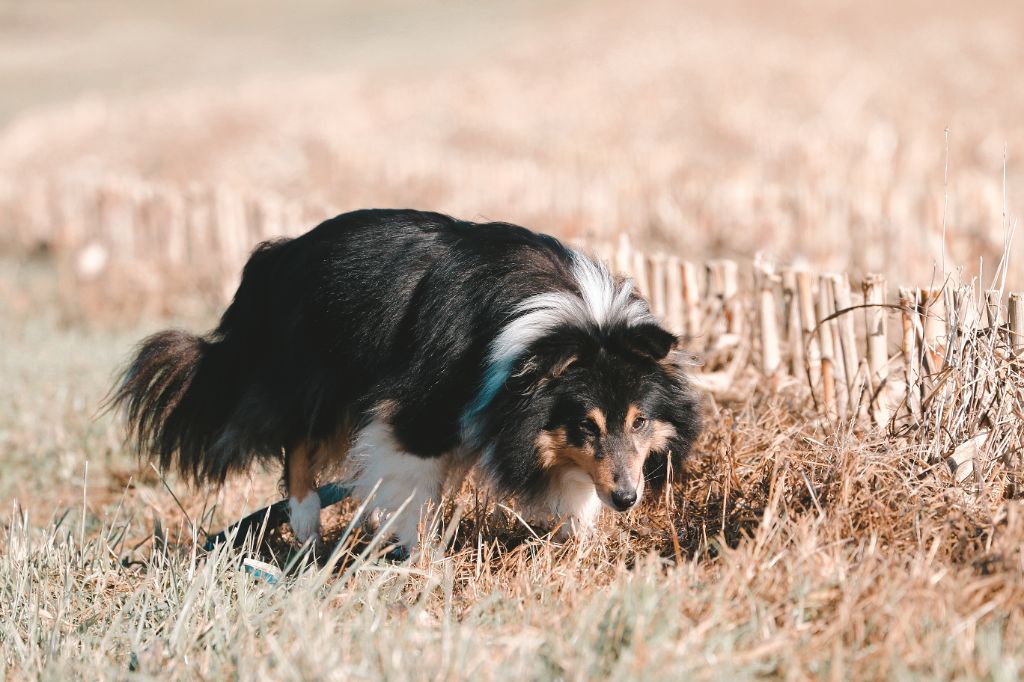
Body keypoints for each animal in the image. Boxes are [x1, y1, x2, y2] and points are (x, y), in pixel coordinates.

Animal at [114, 208, 704, 552]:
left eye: (641, 421)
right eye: (585, 425)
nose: (627, 498)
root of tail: (281, 252)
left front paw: (582, 547)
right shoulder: (422, 410)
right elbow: (413, 488)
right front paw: (423, 558)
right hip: (317, 372)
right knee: (297, 444)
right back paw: (305, 527)